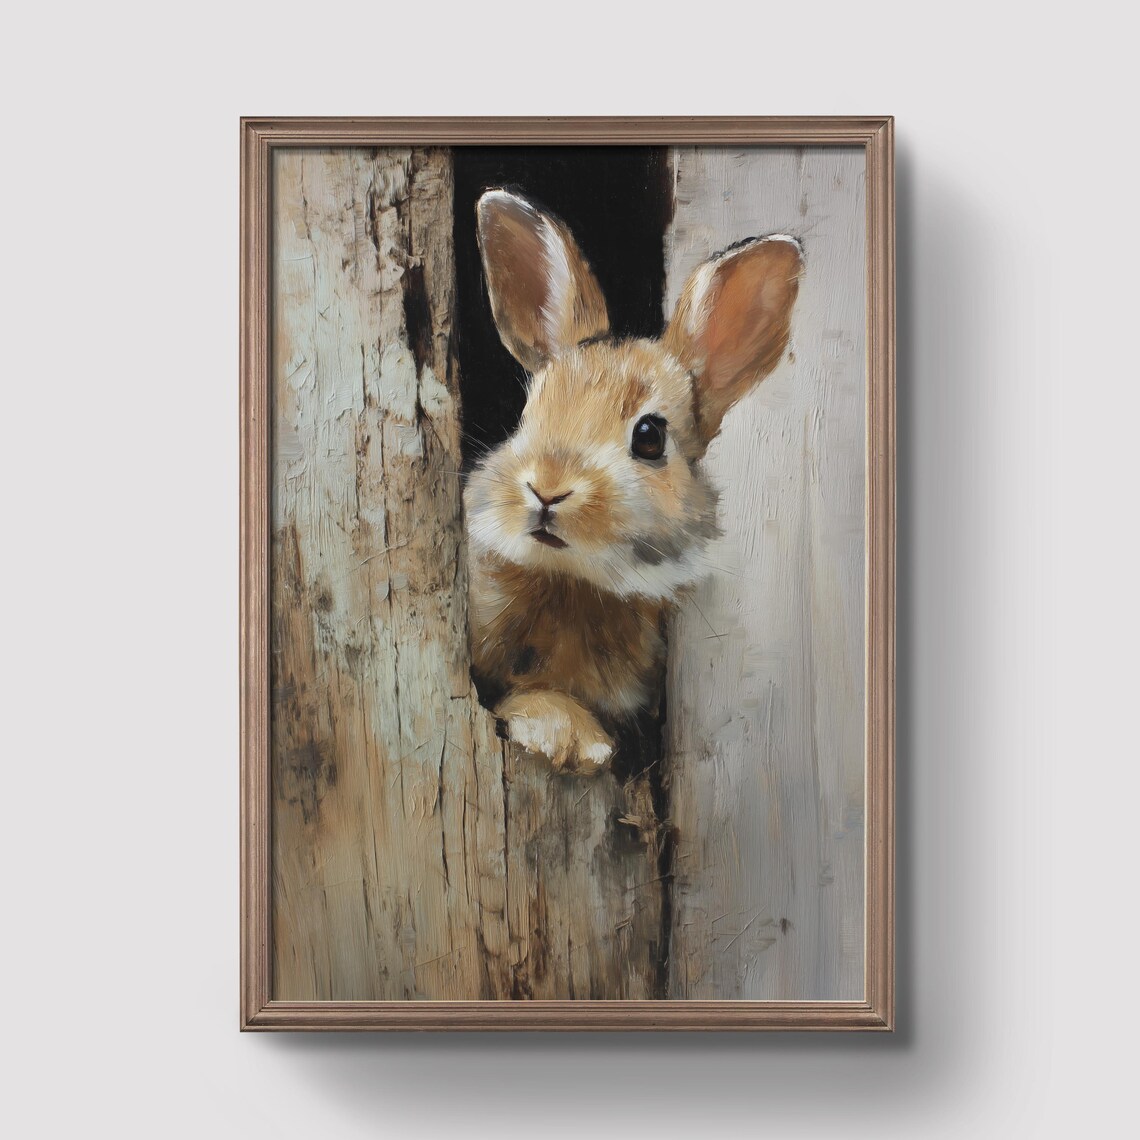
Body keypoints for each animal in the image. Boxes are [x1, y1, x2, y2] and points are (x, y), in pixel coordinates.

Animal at [464, 189, 803, 775]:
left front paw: (574, 739)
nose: (548, 489)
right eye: (527, 413)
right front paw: (566, 736)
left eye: (649, 437)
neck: (571, 581)